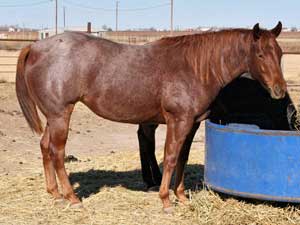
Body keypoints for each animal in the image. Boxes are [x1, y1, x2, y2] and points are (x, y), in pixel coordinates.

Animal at [15, 22, 286, 212]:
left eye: (280, 53)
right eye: (260, 55)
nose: (280, 90)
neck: (196, 67)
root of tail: (36, 47)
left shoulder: (192, 124)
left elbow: (182, 159)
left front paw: (181, 197)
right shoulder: (178, 121)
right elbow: (170, 157)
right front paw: (165, 200)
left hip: (53, 116)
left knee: (45, 146)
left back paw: (55, 194)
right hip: (61, 114)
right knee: (57, 152)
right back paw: (72, 198)